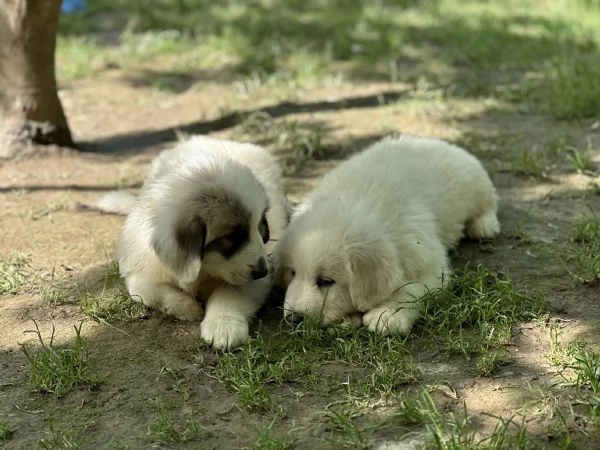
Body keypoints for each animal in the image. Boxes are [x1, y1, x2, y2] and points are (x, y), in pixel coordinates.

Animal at [95, 135, 290, 350]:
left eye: (261, 226)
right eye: (231, 236)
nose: (263, 270)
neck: (204, 270)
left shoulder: (255, 279)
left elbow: (229, 292)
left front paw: (223, 325)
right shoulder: (141, 271)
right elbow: (147, 291)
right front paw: (187, 307)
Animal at [278, 135, 502, 336]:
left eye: (325, 281)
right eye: (292, 273)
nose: (293, 318)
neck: (352, 202)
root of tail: (433, 141)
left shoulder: (429, 263)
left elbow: (412, 288)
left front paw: (387, 314)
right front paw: (346, 318)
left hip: (475, 185)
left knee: (490, 201)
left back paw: (484, 225)